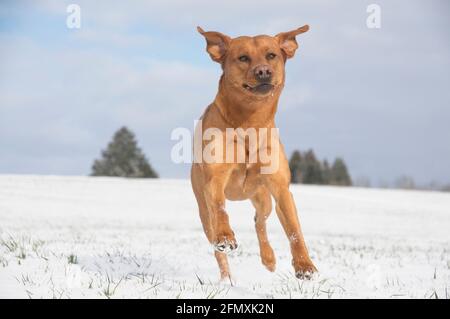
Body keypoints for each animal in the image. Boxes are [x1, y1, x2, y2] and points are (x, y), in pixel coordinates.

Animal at [191, 25, 316, 280]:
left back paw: (269, 259)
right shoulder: (215, 179)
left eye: (272, 55)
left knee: (260, 221)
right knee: (218, 249)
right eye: (243, 58)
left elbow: (294, 230)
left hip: (263, 197)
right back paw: (226, 279)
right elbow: (220, 207)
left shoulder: (281, 188)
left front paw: (304, 265)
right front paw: (226, 236)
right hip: (203, 209)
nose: (263, 71)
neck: (250, 122)